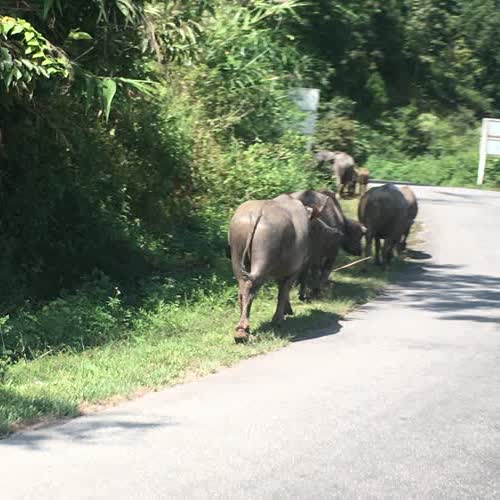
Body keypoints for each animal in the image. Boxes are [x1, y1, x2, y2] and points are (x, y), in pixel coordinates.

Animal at [228, 196, 341, 342]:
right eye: (317, 225)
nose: (335, 232)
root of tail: (258, 214)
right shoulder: (294, 269)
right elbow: (284, 291)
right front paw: (279, 318)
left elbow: (281, 288)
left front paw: (286, 311)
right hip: (265, 247)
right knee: (251, 285)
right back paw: (243, 331)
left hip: (237, 247)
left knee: (242, 285)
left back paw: (241, 330)